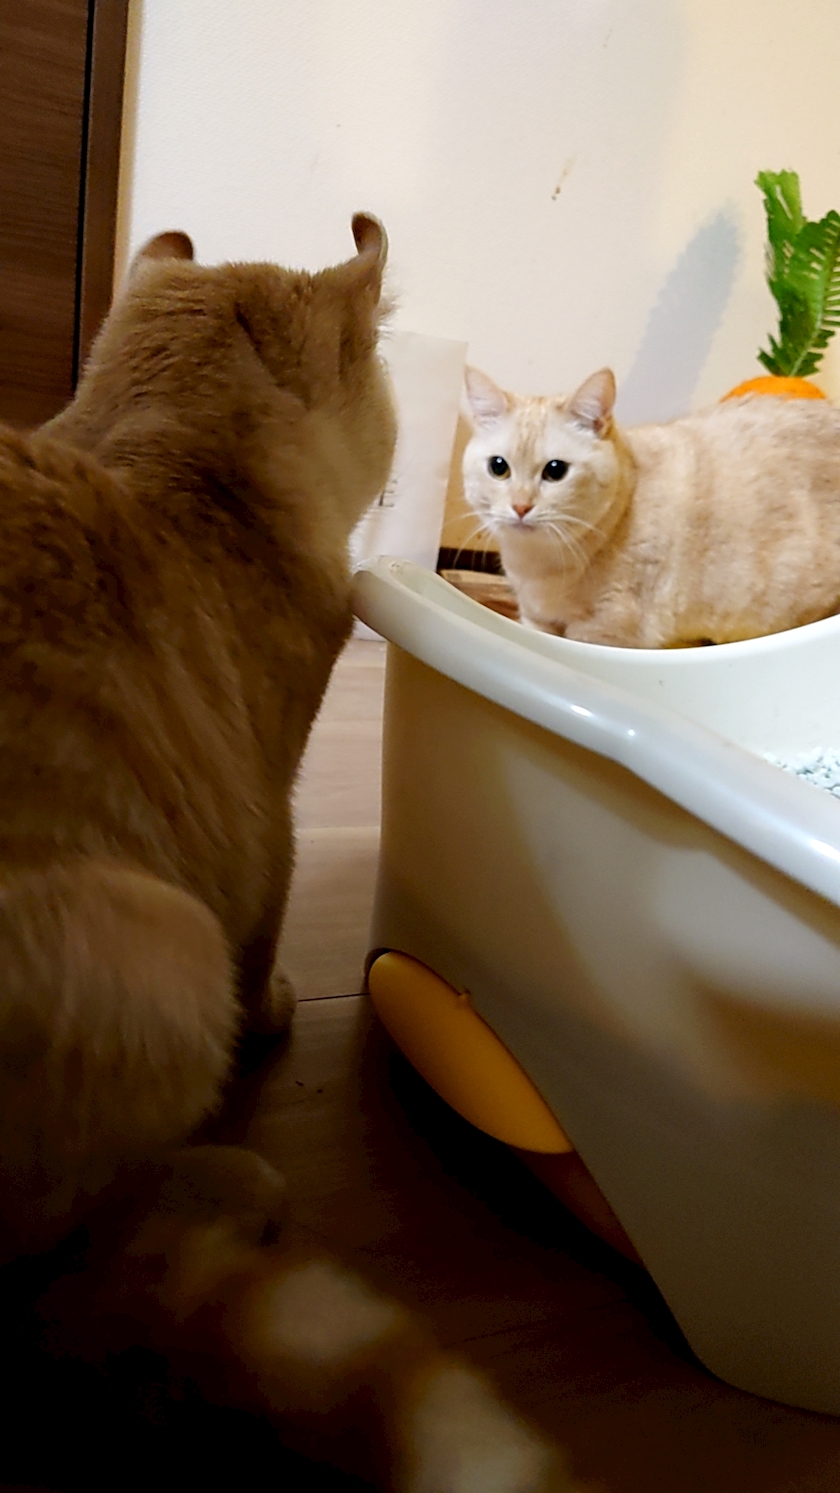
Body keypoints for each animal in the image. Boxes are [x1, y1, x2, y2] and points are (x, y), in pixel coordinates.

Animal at [0, 221, 576, 1491]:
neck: (154, 453)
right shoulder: (266, 814)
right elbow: (264, 920)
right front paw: (269, 1017)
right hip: (161, 940)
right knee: (70, 1258)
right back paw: (224, 1183)